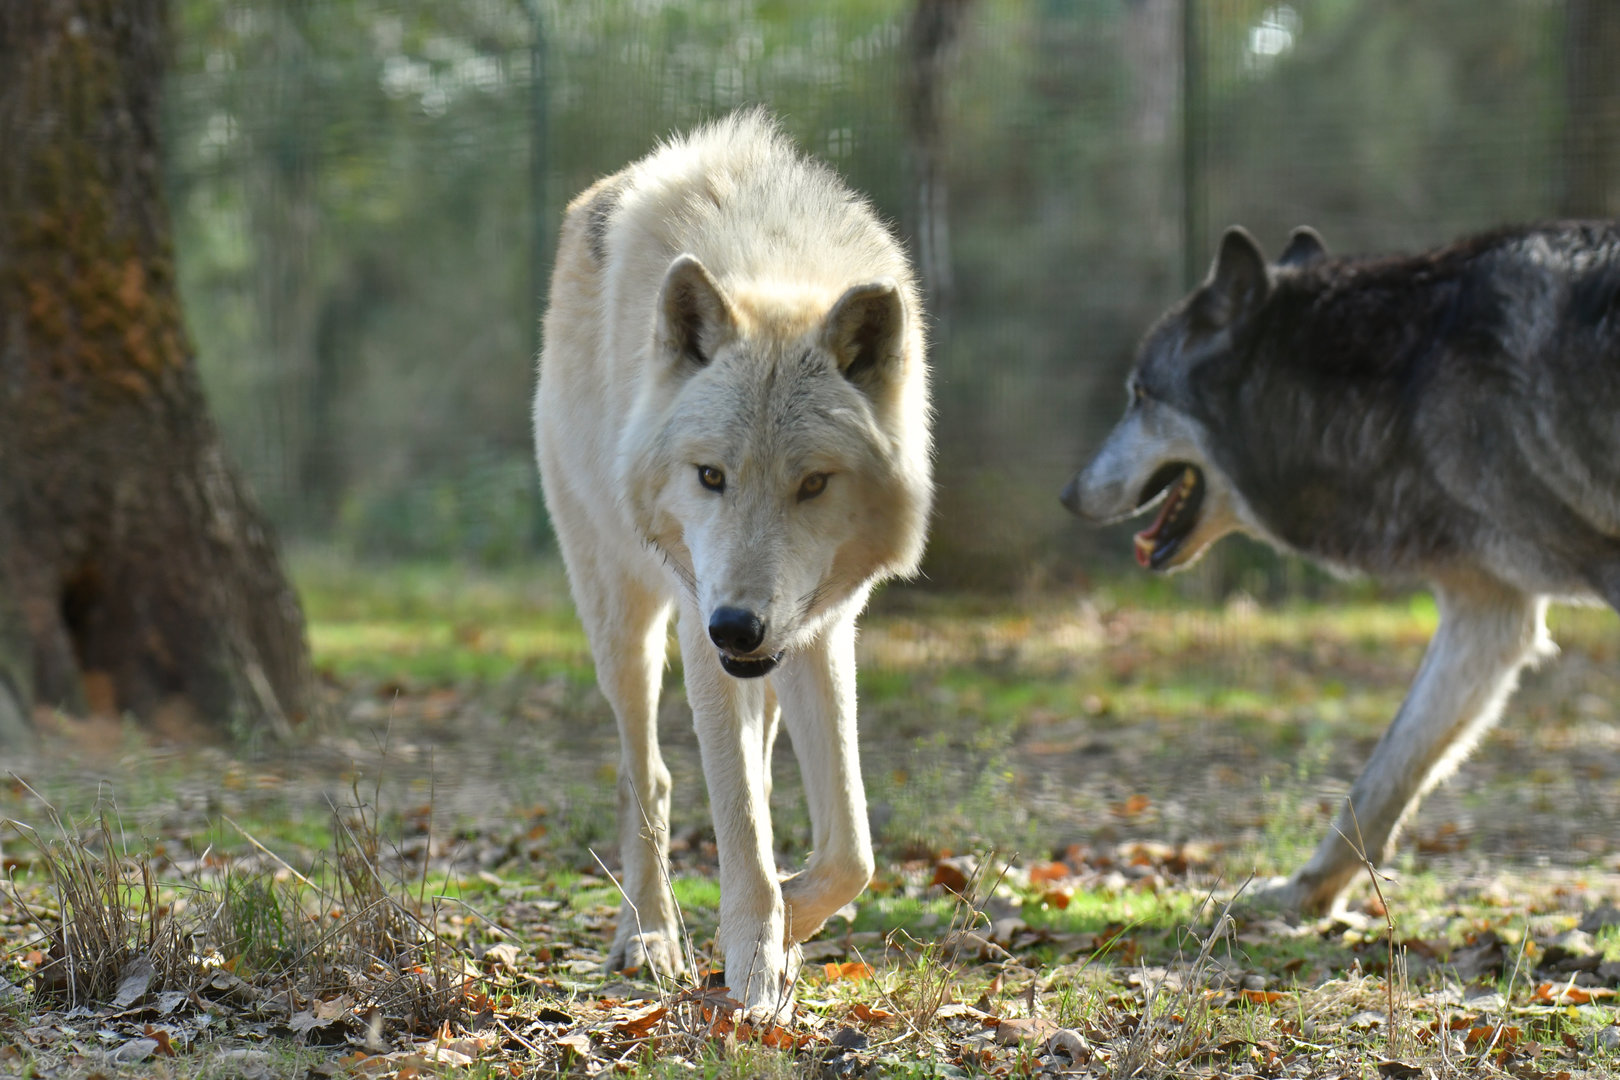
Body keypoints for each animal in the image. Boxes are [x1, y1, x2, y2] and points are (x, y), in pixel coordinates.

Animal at [533, 112, 931, 1013]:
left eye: (812, 483)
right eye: (710, 475)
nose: (737, 626)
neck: (774, 261)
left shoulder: (823, 630)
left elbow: (851, 851)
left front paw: (788, 930)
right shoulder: (696, 625)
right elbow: (742, 825)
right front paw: (752, 965)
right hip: (624, 622)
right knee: (646, 778)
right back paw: (648, 938)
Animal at [1062, 222, 1620, 914]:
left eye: (1140, 394)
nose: (1068, 494)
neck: (1406, 377)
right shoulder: (1488, 616)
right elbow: (1381, 778)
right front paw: (1302, 896)